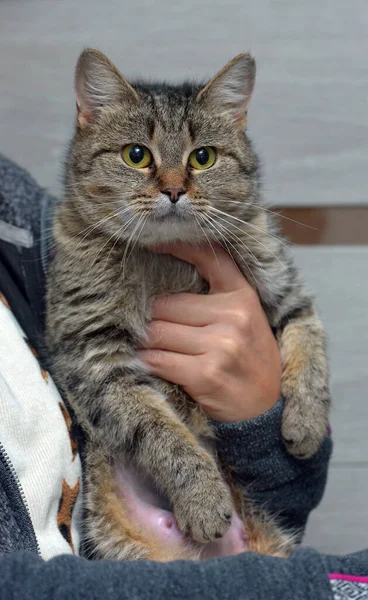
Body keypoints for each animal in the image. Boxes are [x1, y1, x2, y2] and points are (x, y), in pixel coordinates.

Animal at [46, 49, 330, 560]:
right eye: (136, 155)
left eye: (203, 157)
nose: (175, 190)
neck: (169, 256)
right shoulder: (92, 352)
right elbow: (160, 431)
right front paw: (202, 496)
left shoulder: (286, 287)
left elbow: (308, 342)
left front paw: (306, 422)